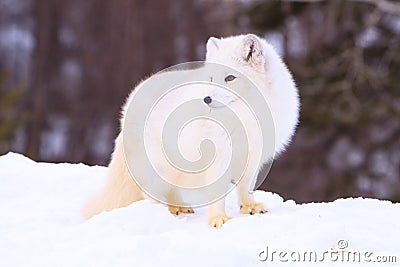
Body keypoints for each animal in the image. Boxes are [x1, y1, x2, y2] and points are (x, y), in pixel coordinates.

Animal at [82, 34, 300, 228]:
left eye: (230, 78)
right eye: (211, 78)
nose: (207, 99)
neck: (246, 117)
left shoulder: (253, 155)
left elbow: (246, 187)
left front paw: (250, 207)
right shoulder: (219, 157)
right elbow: (217, 192)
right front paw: (218, 219)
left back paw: (178, 207)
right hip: (158, 166)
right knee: (151, 192)